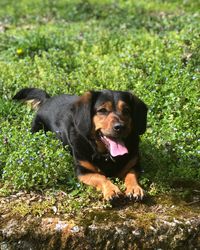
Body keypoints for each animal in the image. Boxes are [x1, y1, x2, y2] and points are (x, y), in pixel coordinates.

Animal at [12, 89, 147, 202]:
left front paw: (134, 188)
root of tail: (47, 99)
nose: (120, 127)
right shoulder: (82, 171)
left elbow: (130, 175)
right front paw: (111, 190)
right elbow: (100, 177)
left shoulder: (134, 164)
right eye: (102, 110)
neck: (106, 155)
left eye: (126, 110)